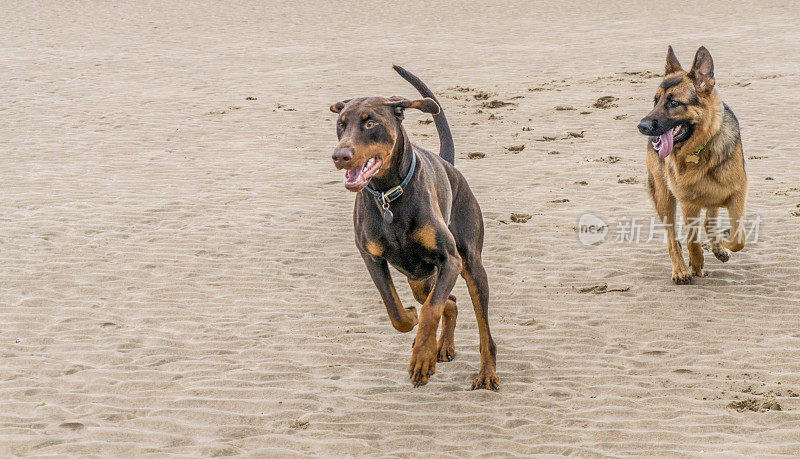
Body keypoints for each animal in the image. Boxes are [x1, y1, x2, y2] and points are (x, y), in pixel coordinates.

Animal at [328, 67, 496, 392]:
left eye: (370, 122)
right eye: (340, 125)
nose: (340, 155)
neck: (388, 194)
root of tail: (446, 163)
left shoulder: (450, 260)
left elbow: (431, 311)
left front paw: (422, 358)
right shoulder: (372, 258)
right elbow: (396, 311)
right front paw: (411, 319)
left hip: (470, 264)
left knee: (482, 330)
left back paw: (486, 373)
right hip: (419, 278)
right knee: (448, 302)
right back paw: (443, 346)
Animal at [636, 46, 752, 284]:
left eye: (674, 103)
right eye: (655, 101)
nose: (642, 126)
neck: (700, 149)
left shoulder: (737, 194)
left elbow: (738, 238)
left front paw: (722, 244)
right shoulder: (687, 203)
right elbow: (691, 240)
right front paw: (696, 262)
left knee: (709, 222)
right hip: (664, 197)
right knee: (673, 238)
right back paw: (680, 269)